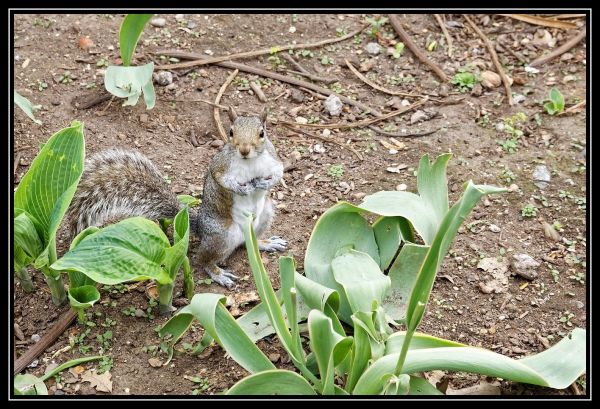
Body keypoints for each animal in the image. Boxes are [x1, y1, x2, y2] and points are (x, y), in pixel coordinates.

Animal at [67, 107, 288, 288]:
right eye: (231, 132)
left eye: (262, 133)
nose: (244, 150)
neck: (249, 162)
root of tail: (202, 228)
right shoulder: (221, 166)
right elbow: (220, 179)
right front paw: (240, 188)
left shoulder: (272, 159)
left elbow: (279, 172)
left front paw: (265, 184)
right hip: (221, 236)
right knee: (202, 259)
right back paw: (218, 273)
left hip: (265, 214)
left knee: (250, 242)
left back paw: (265, 243)